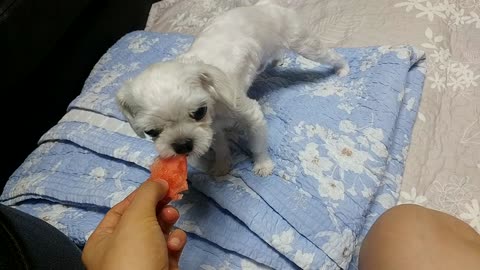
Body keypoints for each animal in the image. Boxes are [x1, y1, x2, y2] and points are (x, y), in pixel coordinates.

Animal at [116, 0, 348, 176]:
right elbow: (220, 148)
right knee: (276, 53)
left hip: (304, 42)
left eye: (199, 112)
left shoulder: (250, 114)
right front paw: (221, 167)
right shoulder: (213, 130)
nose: (183, 145)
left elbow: (257, 145)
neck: (214, 103)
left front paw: (263, 165)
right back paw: (276, 61)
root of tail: (267, 5)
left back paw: (343, 69)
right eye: (151, 132)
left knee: (330, 55)